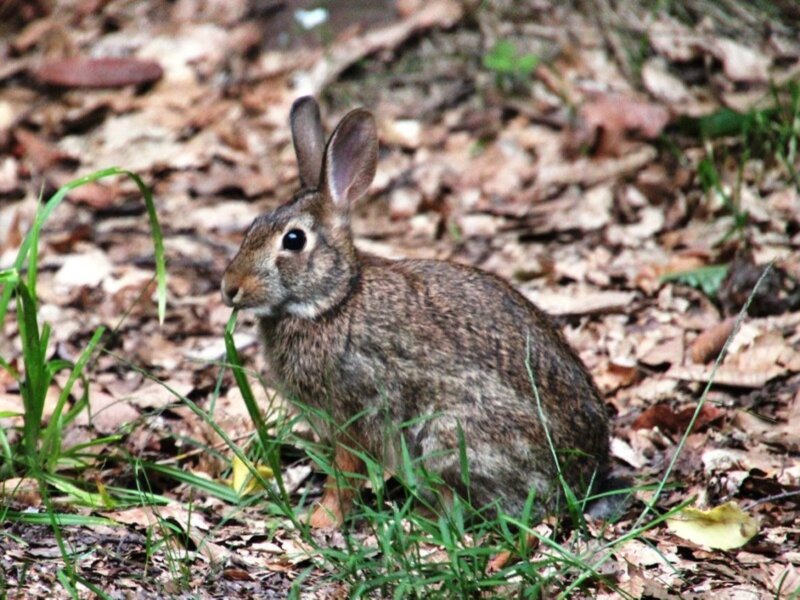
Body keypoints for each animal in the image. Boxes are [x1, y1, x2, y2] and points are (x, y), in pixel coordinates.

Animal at [221, 96, 610, 528]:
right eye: (253, 225)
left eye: (293, 240)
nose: (230, 288)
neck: (334, 301)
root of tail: (584, 479)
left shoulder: (354, 414)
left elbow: (346, 475)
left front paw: (321, 520)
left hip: (447, 435)